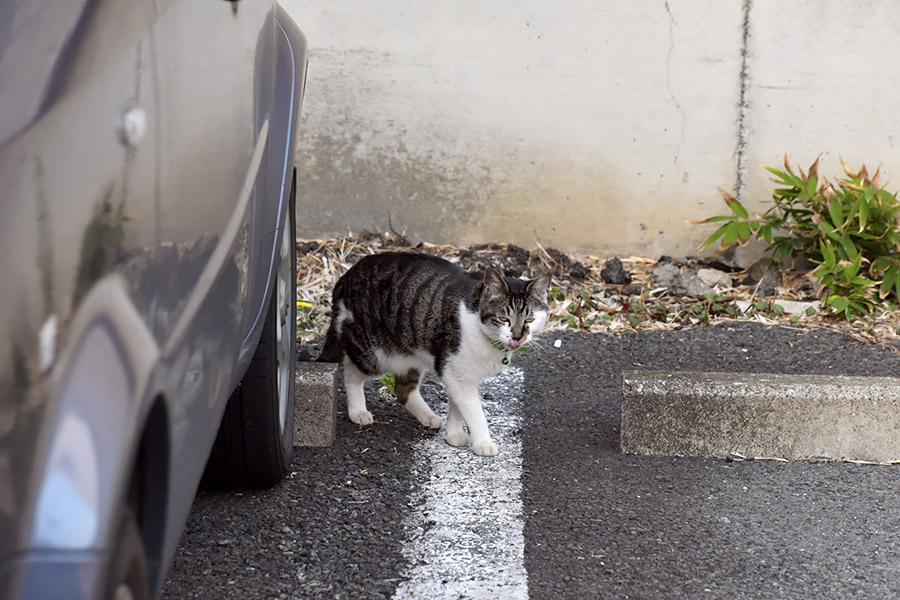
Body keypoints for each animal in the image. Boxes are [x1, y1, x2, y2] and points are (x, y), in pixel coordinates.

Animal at [320, 252, 552, 454]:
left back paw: (428, 417)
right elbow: (474, 412)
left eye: (530, 319)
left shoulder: (456, 373)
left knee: (403, 389)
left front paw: (453, 435)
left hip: (410, 356)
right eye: (504, 319)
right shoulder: (458, 374)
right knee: (351, 372)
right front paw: (484, 443)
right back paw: (358, 412)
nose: (518, 337)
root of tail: (346, 276)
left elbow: (457, 408)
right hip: (373, 353)